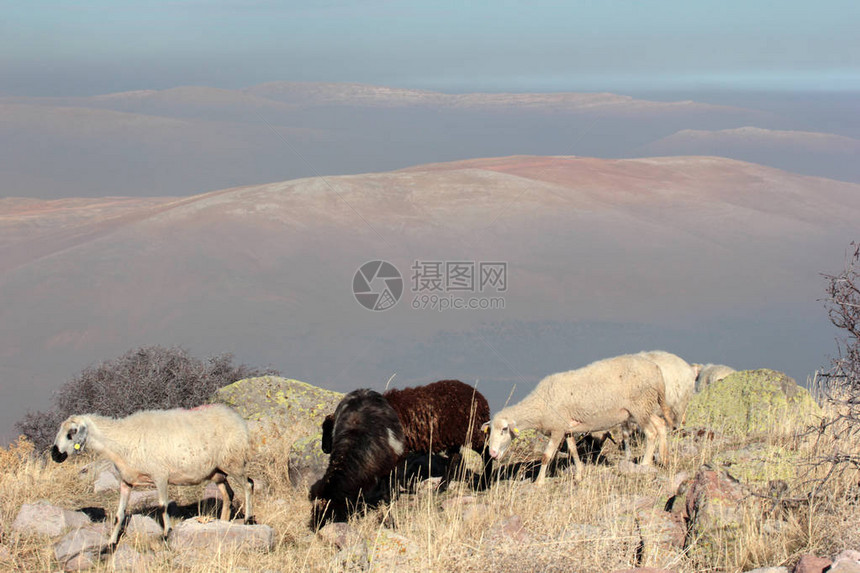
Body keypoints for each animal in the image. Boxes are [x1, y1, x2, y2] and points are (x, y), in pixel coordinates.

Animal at [50, 402, 254, 544]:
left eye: (72, 432)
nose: (55, 454)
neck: (119, 440)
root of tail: (236, 418)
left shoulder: (160, 476)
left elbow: (163, 506)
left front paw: (167, 533)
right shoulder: (126, 481)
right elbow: (119, 515)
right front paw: (110, 543)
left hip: (234, 461)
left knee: (248, 485)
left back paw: (248, 520)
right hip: (217, 471)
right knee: (228, 494)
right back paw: (223, 523)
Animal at [484, 354, 672, 482]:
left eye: (504, 429)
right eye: (490, 431)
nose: (492, 453)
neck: (539, 405)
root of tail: (656, 370)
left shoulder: (557, 429)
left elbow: (546, 456)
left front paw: (539, 482)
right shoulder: (567, 428)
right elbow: (573, 450)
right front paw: (580, 473)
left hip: (640, 406)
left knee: (651, 433)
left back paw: (645, 465)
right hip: (645, 407)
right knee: (661, 424)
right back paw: (664, 459)